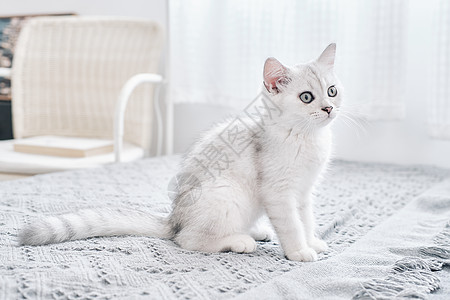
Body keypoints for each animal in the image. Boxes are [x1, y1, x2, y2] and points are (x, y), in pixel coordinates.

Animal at [17, 43, 342, 262]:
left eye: (332, 91)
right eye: (306, 97)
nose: (328, 108)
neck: (306, 138)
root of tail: (174, 220)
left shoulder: (303, 193)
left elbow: (306, 219)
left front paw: (312, 241)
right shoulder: (279, 194)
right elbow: (291, 225)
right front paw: (300, 250)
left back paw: (257, 231)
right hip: (227, 195)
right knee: (189, 240)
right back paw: (239, 241)